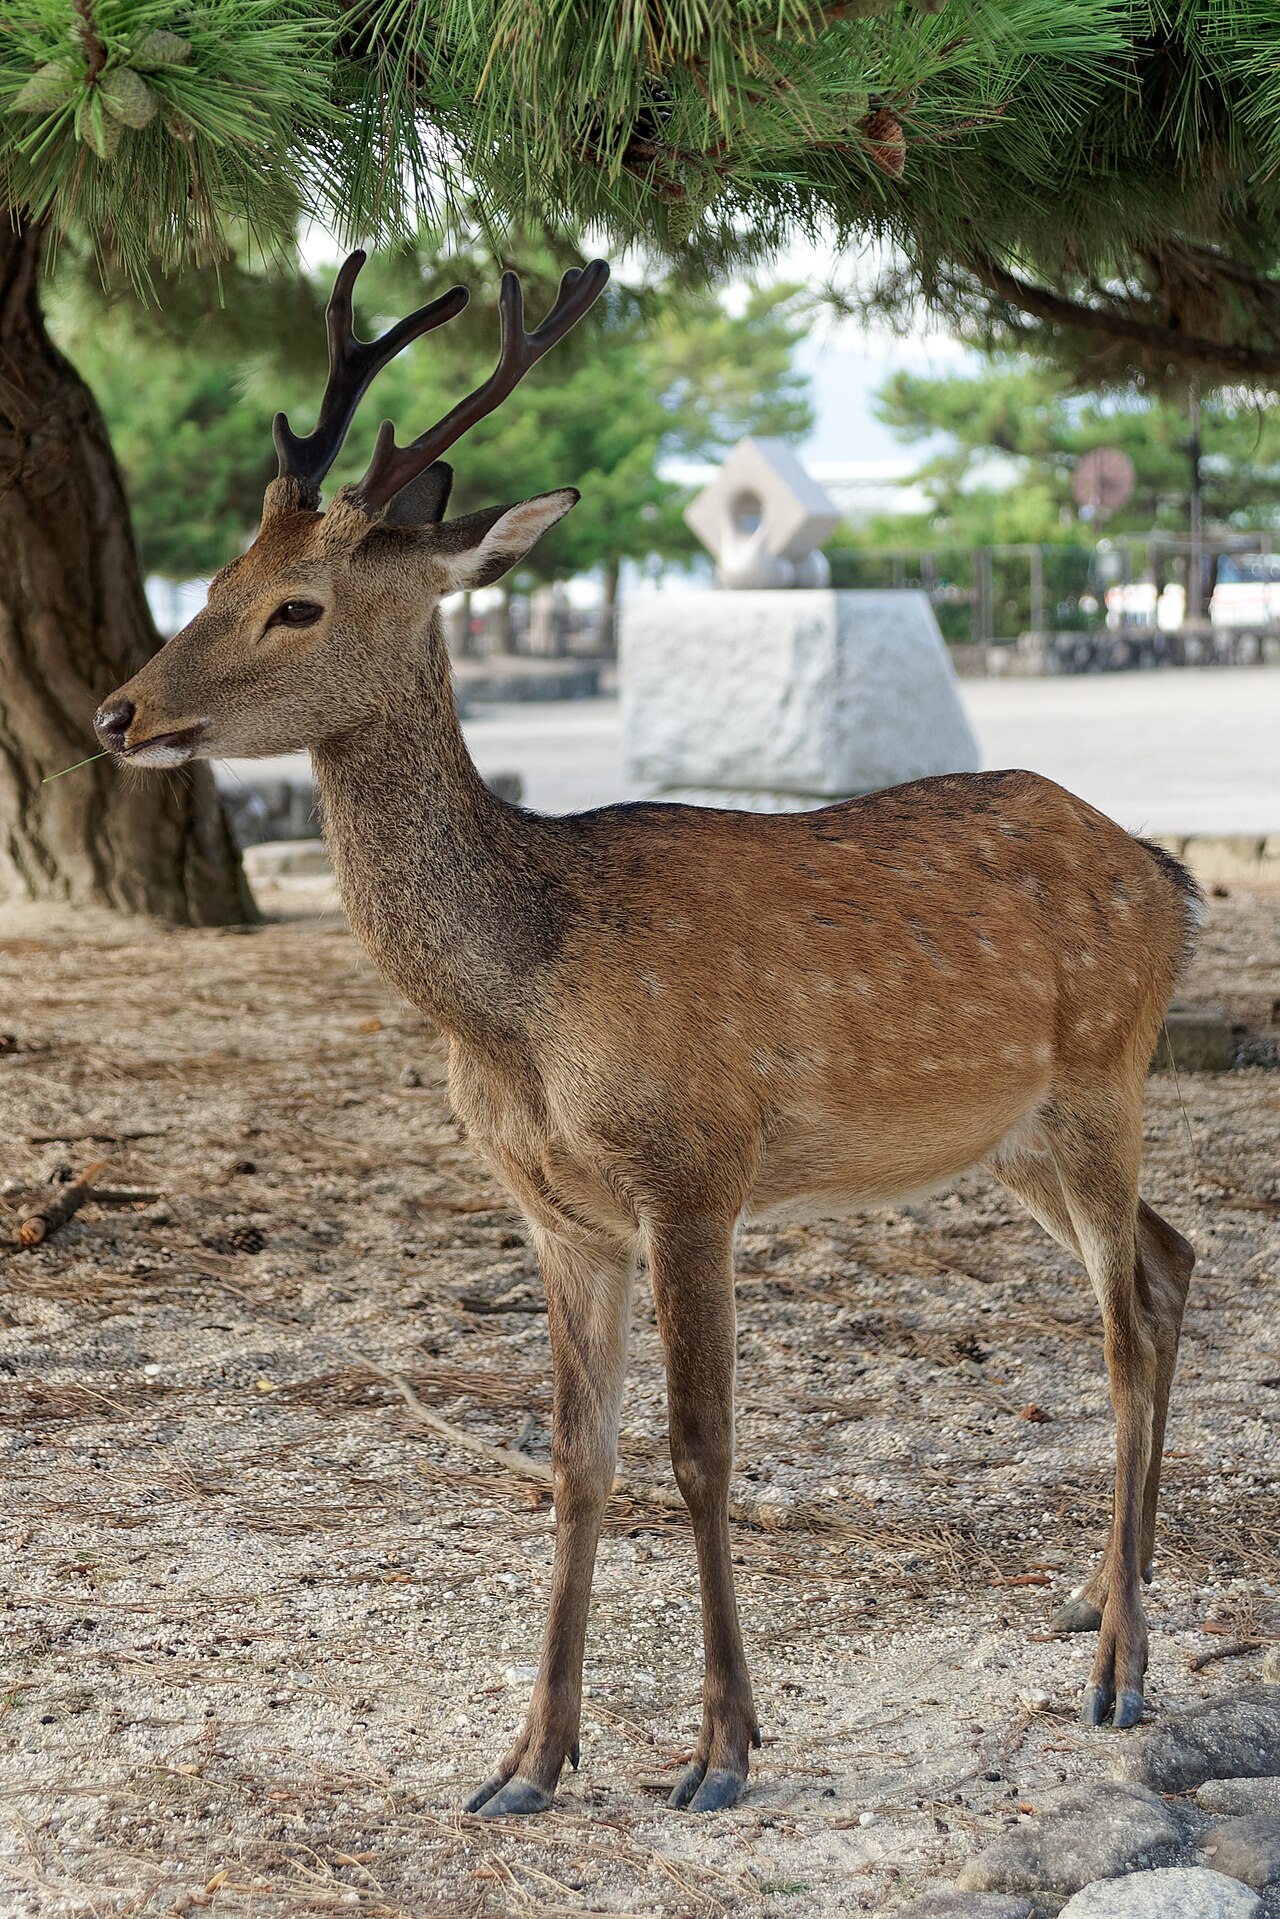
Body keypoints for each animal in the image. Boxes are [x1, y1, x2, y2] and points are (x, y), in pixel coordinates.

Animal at [94, 251, 1201, 1819]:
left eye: (294, 606)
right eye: (216, 580)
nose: (117, 712)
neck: (522, 1006)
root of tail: (1166, 874)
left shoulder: (696, 1166)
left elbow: (698, 1446)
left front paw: (722, 1746)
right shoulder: (557, 1211)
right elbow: (575, 1459)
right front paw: (526, 1761)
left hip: (1105, 1075)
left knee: (1117, 1319)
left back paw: (1118, 1666)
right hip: (1014, 1137)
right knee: (1171, 1260)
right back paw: (1109, 1596)